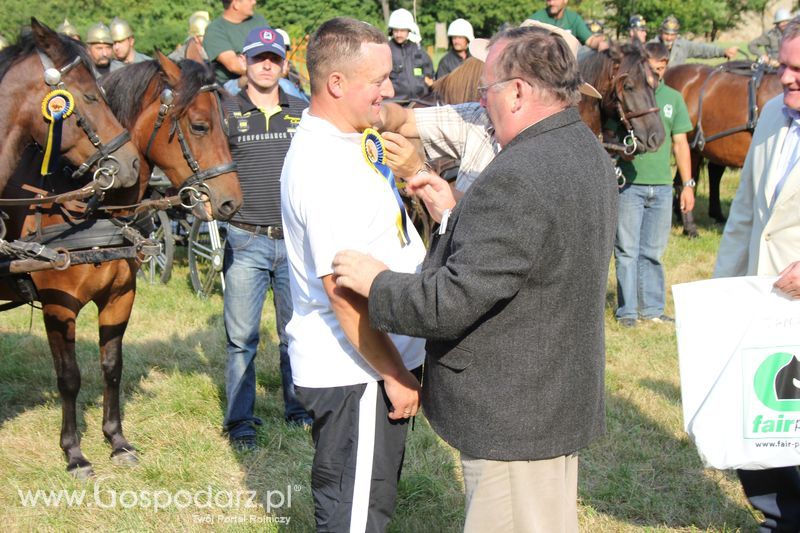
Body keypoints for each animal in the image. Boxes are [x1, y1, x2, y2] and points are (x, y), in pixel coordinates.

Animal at [3, 53, 241, 478]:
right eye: (199, 125)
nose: (230, 202)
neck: (90, 209)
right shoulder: (58, 306)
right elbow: (69, 377)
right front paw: (74, 453)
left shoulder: (120, 296)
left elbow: (112, 366)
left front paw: (116, 440)